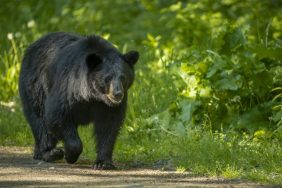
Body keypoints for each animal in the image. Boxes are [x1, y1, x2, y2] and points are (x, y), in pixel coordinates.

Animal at [18, 31, 139, 170]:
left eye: (123, 78)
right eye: (107, 78)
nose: (117, 94)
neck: (92, 96)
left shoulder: (107, 107)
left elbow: (109, 125)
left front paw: (103, 162)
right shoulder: (68, 87)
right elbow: (57, 114)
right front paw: (70, 155)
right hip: (34, 86)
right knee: (40, 121)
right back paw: (49, 153)